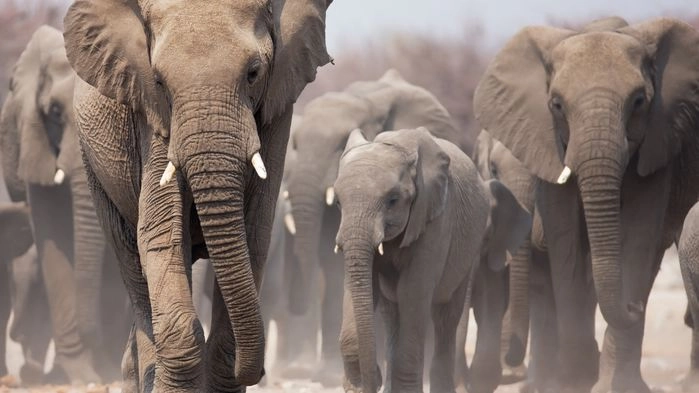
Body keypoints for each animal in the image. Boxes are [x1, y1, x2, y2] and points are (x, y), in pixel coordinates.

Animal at [62, 0, 334, 388]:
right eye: (159, 82)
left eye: (253, 73)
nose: (262, 371)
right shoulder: (152, 114)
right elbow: (160, 232)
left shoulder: (277, 109)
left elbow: (254, 232)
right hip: (93, 164)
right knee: (132, 262)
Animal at [334, 128, 532, 392]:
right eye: (337, 202)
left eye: (393, 200)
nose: (371, 379)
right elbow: (360, 286)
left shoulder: (437, 220)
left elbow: (412, 291)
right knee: (392, 313)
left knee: (444, 319)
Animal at [476, 16, 699, 392]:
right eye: (556, 105)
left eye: (639, 101)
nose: (633, 306)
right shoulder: (550, 145)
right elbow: (564, 240)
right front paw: (574, 380)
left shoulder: (658, 142)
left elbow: (638, 239)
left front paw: (611, 385)